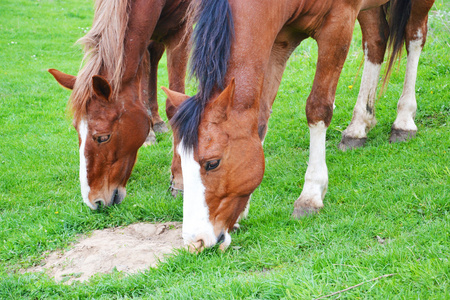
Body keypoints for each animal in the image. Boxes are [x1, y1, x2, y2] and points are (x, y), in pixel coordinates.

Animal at [163, 0, 434, 250]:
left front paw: (311, 194)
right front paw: (244, 209)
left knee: (414, 35)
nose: (195, 242)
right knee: (376, 40)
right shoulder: (281, 39)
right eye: (181, 163)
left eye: (212, 163)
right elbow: (261, 116)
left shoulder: (338, 24)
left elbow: (318, 108)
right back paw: (358, 127)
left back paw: (404, 119)